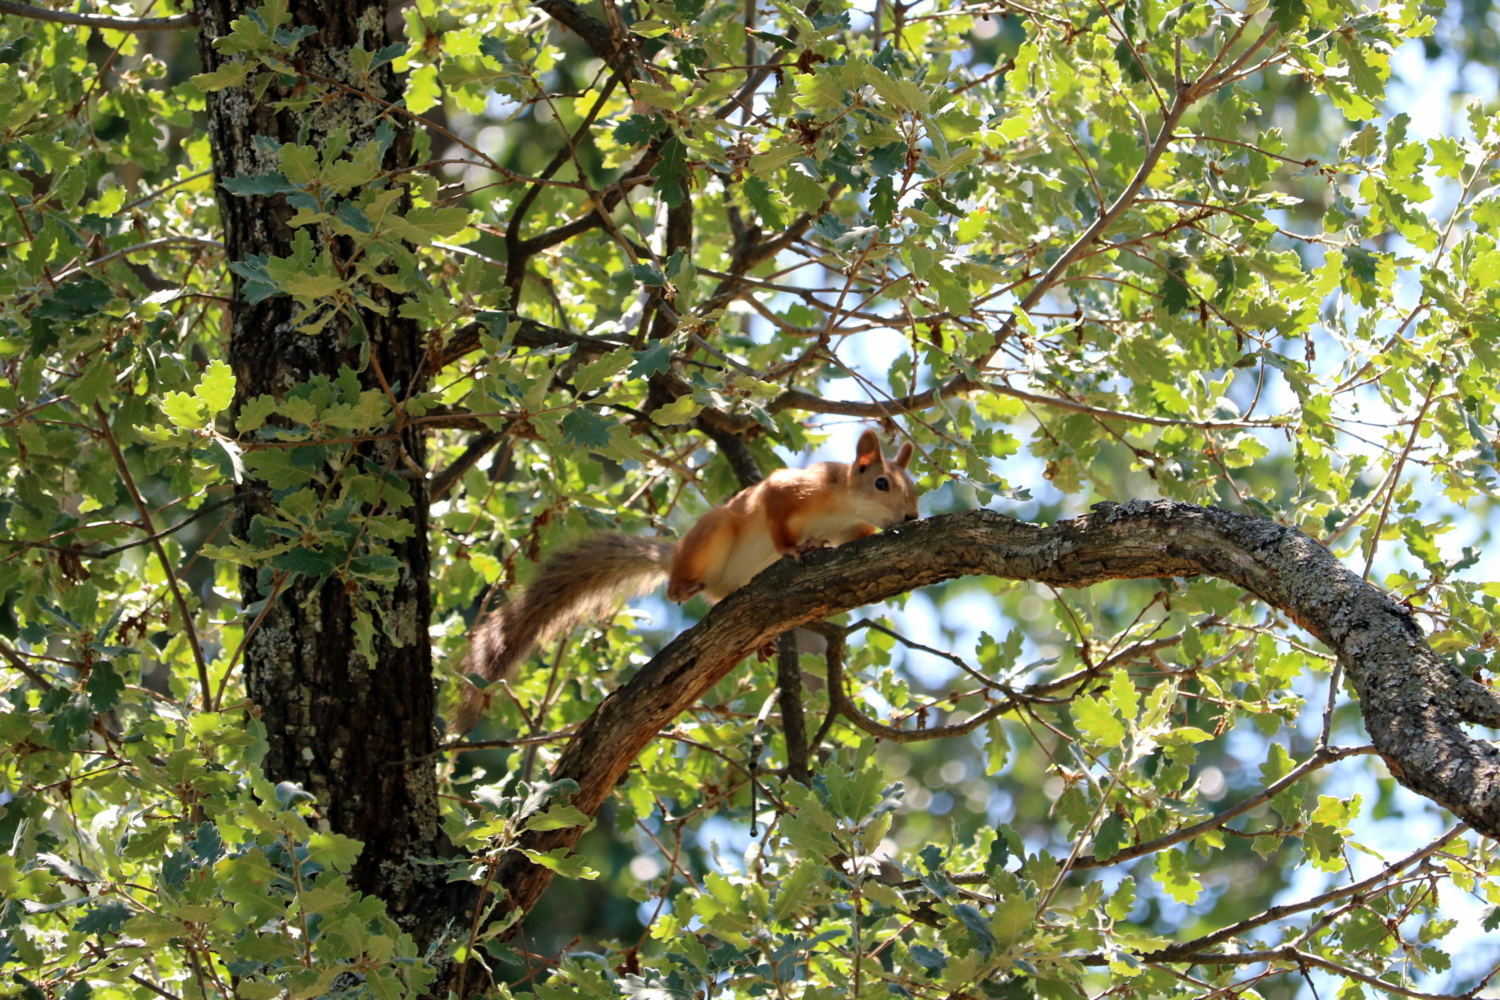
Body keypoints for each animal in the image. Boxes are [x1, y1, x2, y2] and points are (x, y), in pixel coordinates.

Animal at [456, 428, 918, 728]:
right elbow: (776, 520)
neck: (842, 503)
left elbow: (858, 537)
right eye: (881, 483)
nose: (912, 517)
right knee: (683, 578)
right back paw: (682, 585)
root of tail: (676, 555)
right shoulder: (789, 492)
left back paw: (762, 640)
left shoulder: (849, 530)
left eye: (913, 487)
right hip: (713, 533)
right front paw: (794, 549)